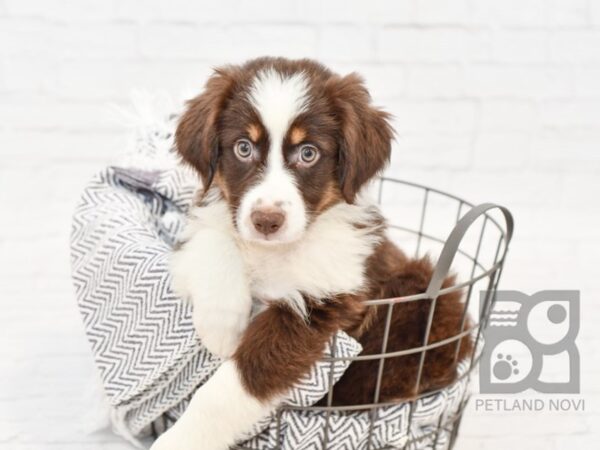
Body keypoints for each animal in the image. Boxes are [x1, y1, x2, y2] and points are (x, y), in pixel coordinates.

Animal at [151, 57, 474, 450]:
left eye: (308, 153)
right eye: (243, 147)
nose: (266, 220)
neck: (275, 251)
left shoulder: (320, 302)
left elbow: (234, 386)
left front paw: (178, 440)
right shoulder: (199, 232)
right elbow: (213, 240)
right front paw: (221, 326)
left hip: (424, 298)